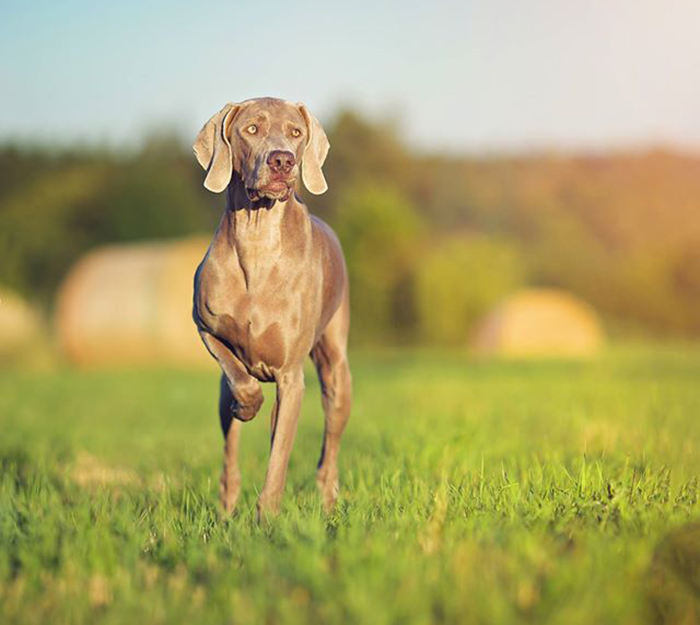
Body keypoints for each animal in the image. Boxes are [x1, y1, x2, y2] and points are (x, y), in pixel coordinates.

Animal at [191, 96, 352, 516]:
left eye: (295, 132)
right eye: (251, 128)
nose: (283, 160)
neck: (257, 238)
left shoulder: (291, 378)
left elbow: (279, 457)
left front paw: (268, 516)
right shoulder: (204, 325)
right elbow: (239, 375)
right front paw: (248, 405)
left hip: (336, 372)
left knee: (329, 451)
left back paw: (328, 501)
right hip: (221, 400)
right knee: (230, 450)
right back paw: (227, 506)